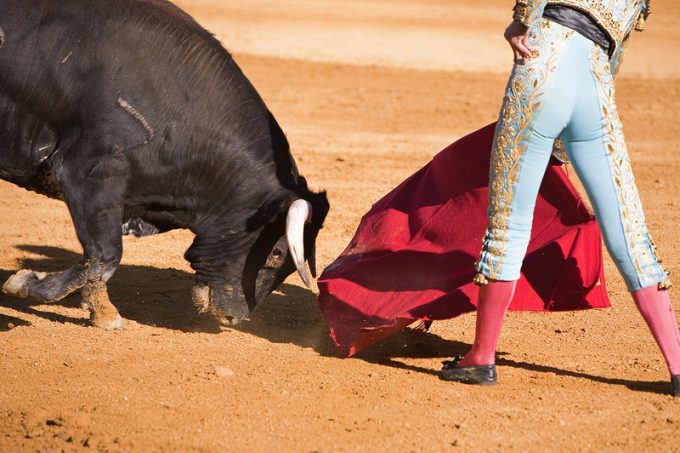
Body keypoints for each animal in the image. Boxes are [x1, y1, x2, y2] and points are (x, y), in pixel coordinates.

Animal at [0, 0, 330, 324]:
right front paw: (25, 283)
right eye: (276, 253)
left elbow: (101, 258)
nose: (235, 317)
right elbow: (105, 254)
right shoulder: (91, 174)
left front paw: (103, 313)